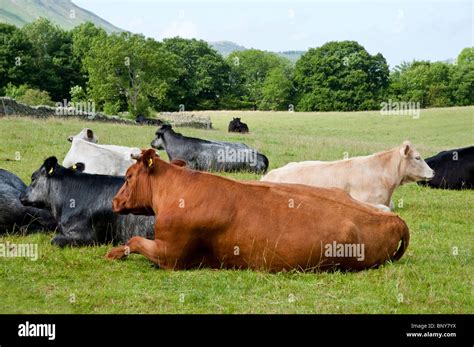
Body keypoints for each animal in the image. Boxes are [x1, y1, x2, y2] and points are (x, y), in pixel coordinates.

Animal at [105, 149, 410, 272]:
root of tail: (394, 218)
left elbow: (135, 240)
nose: (113, 201)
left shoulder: (171, 254)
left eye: (128, 177)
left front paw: (113, 252)